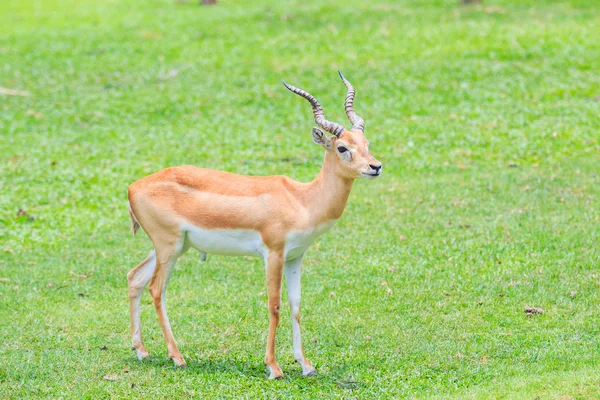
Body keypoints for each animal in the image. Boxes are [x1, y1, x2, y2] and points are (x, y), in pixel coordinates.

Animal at [127, 71, 382, 378]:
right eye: (343, 147)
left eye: (366, 144)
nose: (375, 167)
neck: (302, 199)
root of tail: (133, 187)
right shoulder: (273, 253)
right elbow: (275, 305)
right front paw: (274, 367)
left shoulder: (295, 256)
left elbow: (296, 305)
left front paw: (306, 365)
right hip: (170, 247)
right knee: (156, 289)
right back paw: (177, 357)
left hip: (174, 246)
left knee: (135, 278)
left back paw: (141, 351)